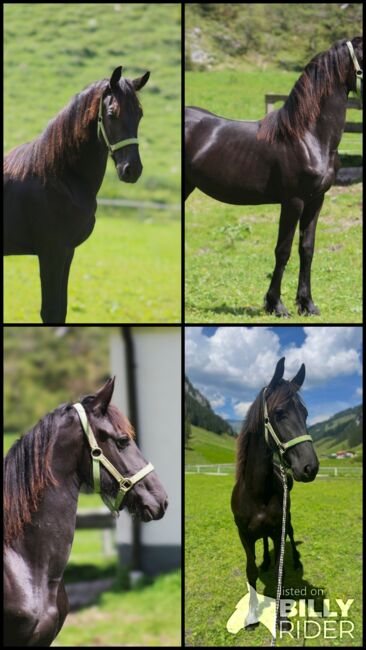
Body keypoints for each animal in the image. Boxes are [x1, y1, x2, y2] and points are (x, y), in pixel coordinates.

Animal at [4, 66, 150, 324]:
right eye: (111, 113)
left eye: (140, 114)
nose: (132, 170)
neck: (57, 176)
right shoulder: (51, 252)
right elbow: (50, 311)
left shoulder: (67, 251)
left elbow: (60, 310)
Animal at [186, 38, 364, 316]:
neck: (308, 136)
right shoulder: (293, 201)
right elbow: (283, 250)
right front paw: (276, 305)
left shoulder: (316, 200)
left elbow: (307, 249)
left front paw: (307, 304)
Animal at [233, 356, 318, 632]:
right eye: (280, 413)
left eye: (305, 414)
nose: (310, 467)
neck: (257, 492)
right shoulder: (244, 534)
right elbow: (250, 571)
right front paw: (251, 616)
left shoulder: (278, 528)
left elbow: (282, 573)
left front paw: (281, 618)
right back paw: (267, 560)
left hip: (286, 519)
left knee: (289, 534)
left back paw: (296, 561)